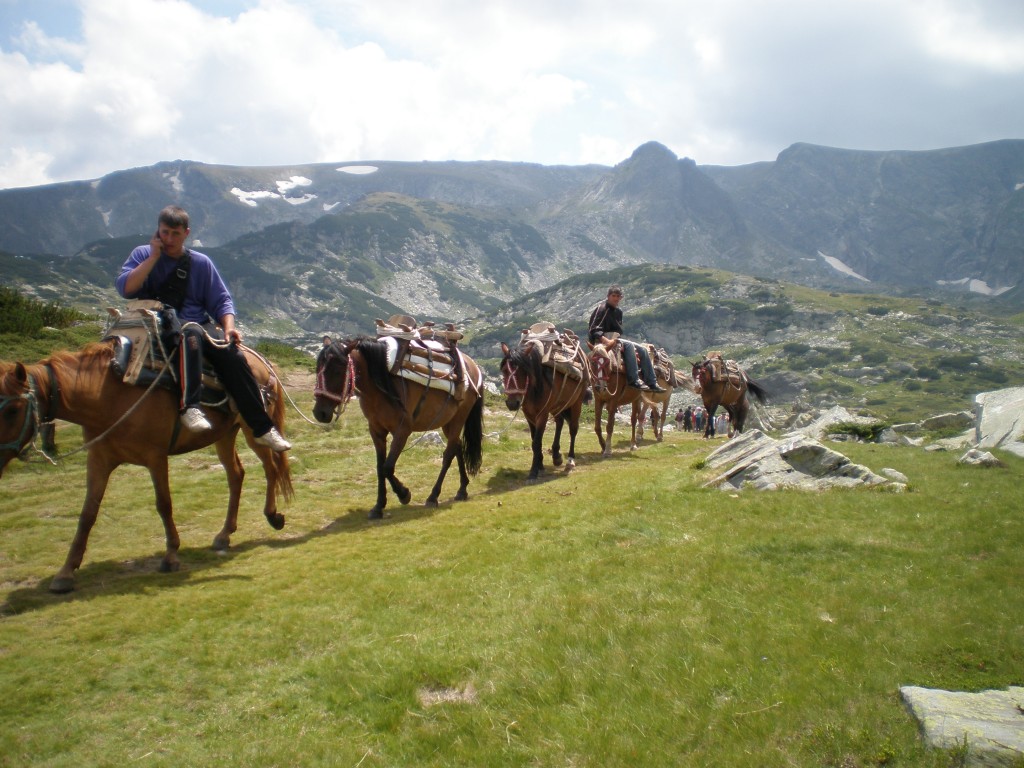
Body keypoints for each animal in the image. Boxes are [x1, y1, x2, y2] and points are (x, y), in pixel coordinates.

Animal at [0, 303, 292, 593]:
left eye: (12, 409)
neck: (109, 393)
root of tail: (261, 361)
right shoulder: (99, 458)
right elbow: (87, 513)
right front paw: (65, 572)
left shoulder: (156, 456)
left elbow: (164, 503)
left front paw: (171, 556)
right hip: (224, 434)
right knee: (236, 475)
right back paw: (224, 534)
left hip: (252, 429)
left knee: (270, 466)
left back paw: (272, 515)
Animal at [311, 315, 483, 520]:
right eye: (317, 369)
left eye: (337, 370)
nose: (320, 413)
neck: (380, 383)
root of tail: (472, 366)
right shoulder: (376, 431)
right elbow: (380, 468)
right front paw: (378, 506)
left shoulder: (402, 430)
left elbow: (387, 467)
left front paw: (404, 494)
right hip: (447, 422)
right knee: (457, 447)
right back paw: (462, 489)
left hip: (459, 418)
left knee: (448, 454)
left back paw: (433, 496)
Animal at [497, 319, 589, 479]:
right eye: (504, 371)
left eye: (524, 371)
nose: (512, 403)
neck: (533, 388)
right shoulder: (529, 414)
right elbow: (534, 439)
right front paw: (539, 464)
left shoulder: (542, 414)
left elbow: (537, 441)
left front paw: (533, 471)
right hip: (558, 404)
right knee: (559, 422)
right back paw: (557, 456)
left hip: (575, 403)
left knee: (573, 428)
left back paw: (570, 461)